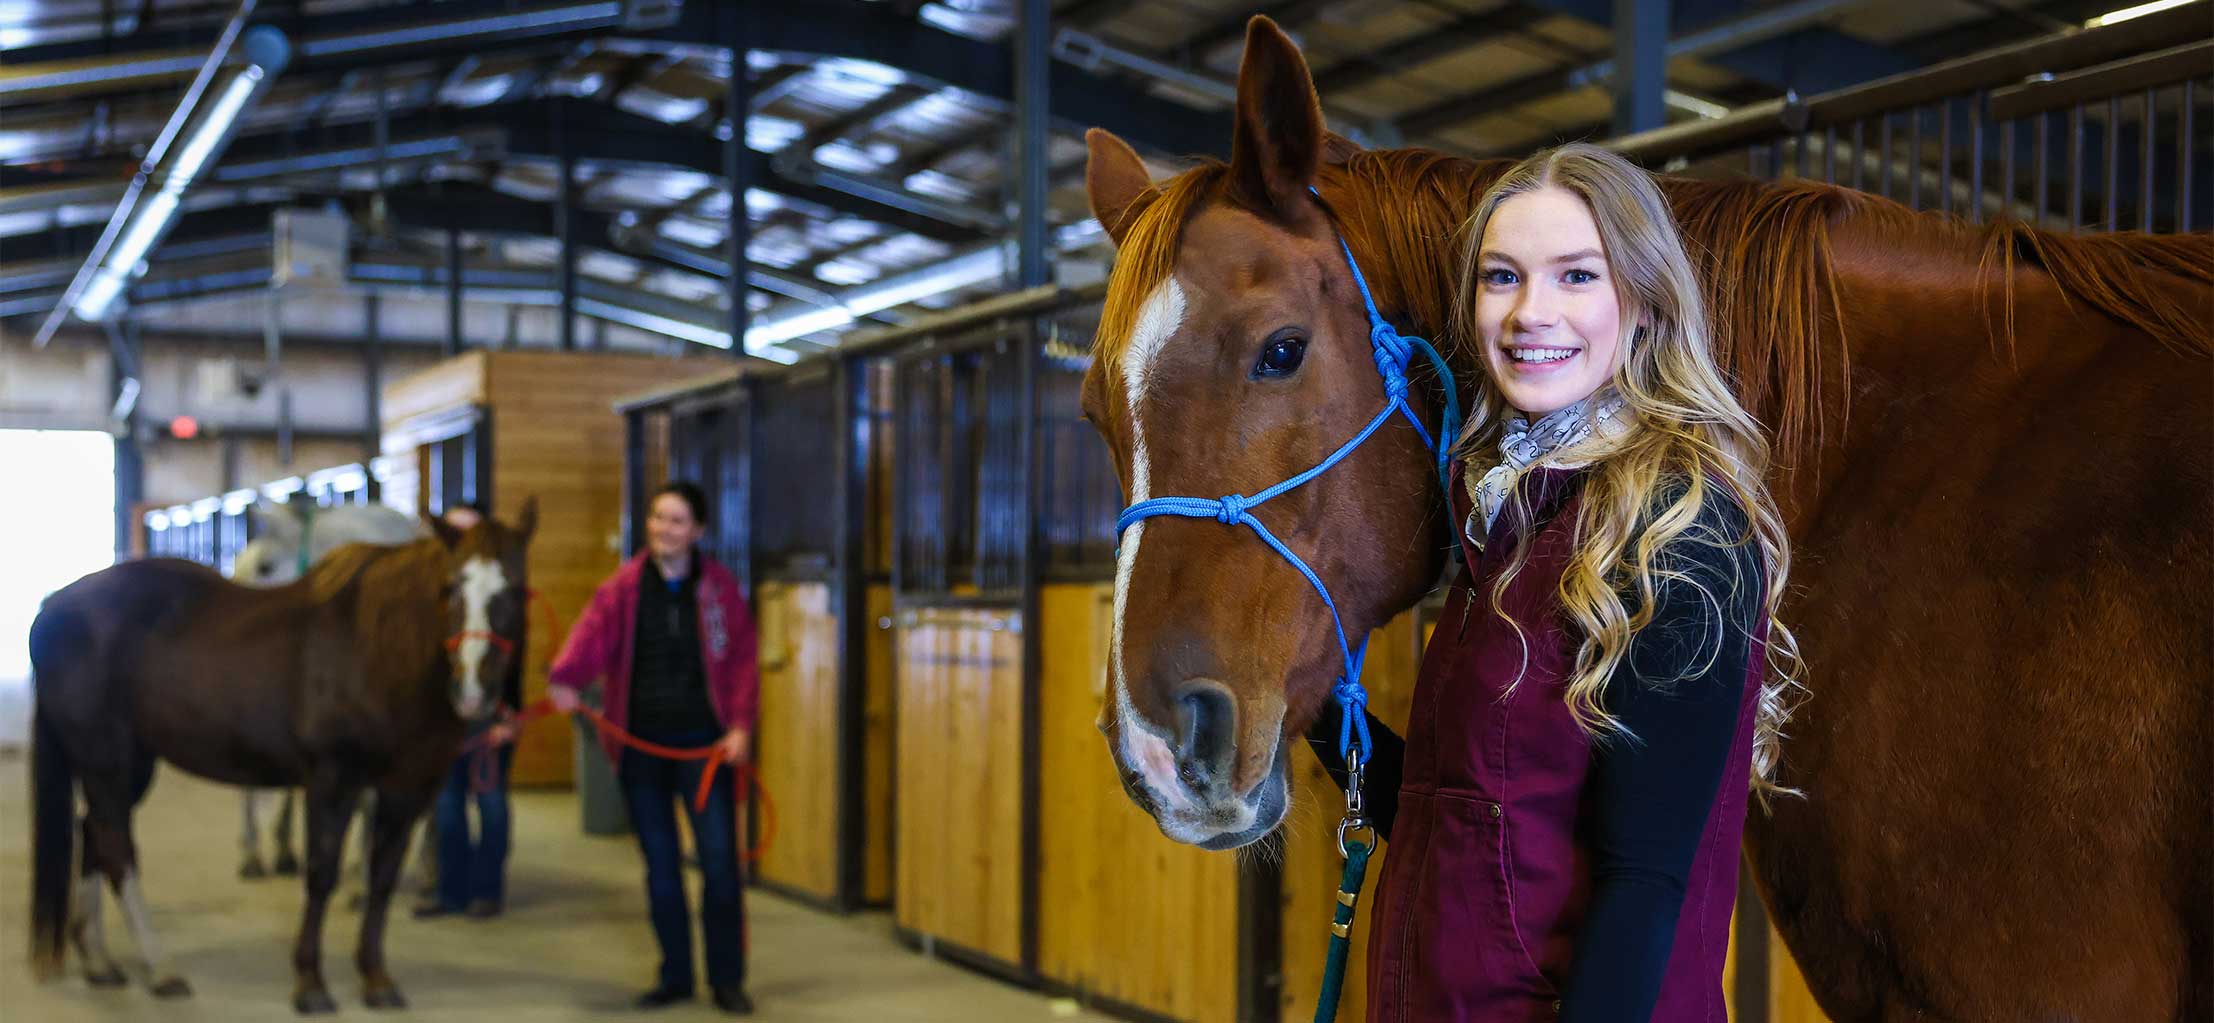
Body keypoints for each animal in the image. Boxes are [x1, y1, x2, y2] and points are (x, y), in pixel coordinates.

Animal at [29, 500, 535, 1009]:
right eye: (451, 588)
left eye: (516, 590)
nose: (473, 691)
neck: (378, 645)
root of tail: (53, 606)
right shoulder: (332, 780)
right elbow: (321, 873)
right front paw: (310, 985)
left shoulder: (405, 789)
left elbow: (383, 877)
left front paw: (376, 980)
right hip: (104, 757)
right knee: (116, 846)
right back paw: (161, 970)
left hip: (129, 762)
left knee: (94, 832)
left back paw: (100, 962)